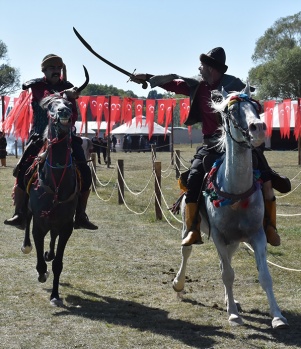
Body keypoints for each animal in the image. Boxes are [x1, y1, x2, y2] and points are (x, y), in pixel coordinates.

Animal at [170, 83, 288, 328]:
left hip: (234, 241)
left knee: (226, 263)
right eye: (232, 111)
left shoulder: (256, 235)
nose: (258, 128)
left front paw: (277, 316)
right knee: (187, 251)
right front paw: (233, 315)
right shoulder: (217, 236)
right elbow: (227, 275)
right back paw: (179, 286)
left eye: (256, 107)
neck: (235, 192)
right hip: (189, 226)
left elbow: (264, 276)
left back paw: (227, 300)